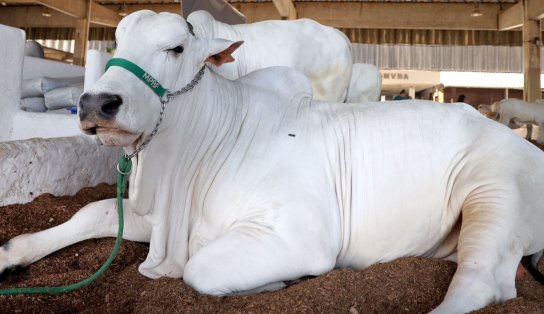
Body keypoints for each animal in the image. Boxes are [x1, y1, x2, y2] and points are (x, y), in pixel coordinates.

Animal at [1, 11, 544, 312]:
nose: (96, 104)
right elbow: (91, 212)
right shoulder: (166, 220)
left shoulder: (300, 236)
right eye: (115, 43)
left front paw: (278, 282)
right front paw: (11, 254)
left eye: (176, 47)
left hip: (494, 194)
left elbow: (199, 270)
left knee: (480, 284)